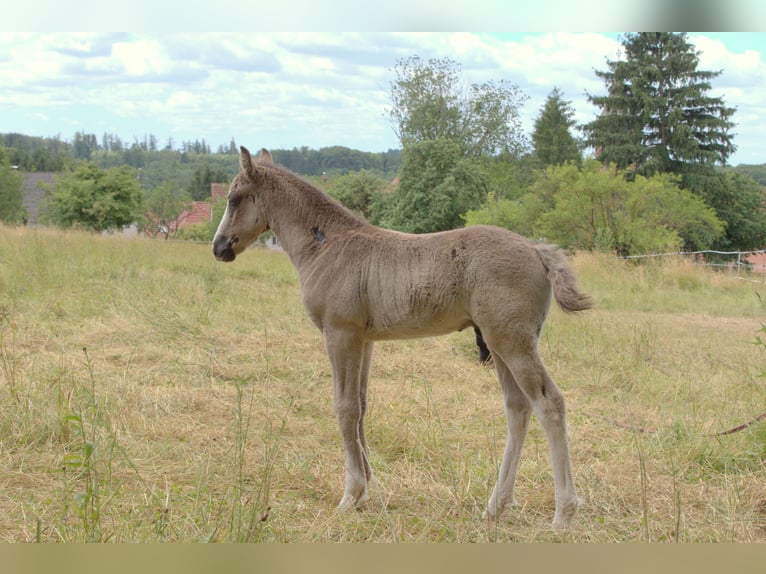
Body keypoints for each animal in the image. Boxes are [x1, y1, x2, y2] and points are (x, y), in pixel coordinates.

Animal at [213, 146, 592, 530]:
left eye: (233, 198)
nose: (218, 247)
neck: (327, 245)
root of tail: (536, 250)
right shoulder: (364, 340)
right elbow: (361, 405)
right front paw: (366, 488)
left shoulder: (340, 334)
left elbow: (345, 408)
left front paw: (350, 494)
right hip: (500, 344)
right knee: (517, 408)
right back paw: (495, 505)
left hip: (512, 342)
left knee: (549, 403)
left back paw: (563, 513)